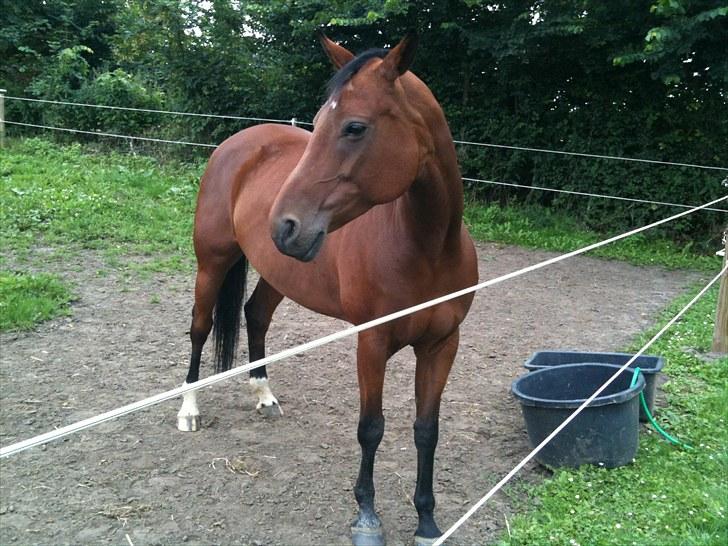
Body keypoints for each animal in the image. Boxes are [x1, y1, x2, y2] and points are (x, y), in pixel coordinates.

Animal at [178, 35, 478, 544]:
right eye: (318, 124)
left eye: (355, 127)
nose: (284, 225)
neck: (428, 249)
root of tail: (235, 144)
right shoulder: (372, 342)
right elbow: (371, 428)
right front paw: (367, 517)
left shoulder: (442, 345)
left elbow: (426, 428)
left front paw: (427, 520)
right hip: (212, 263)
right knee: (200, 328)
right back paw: (188, 409)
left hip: (278, 273)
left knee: (255, 315)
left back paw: (264, 396)